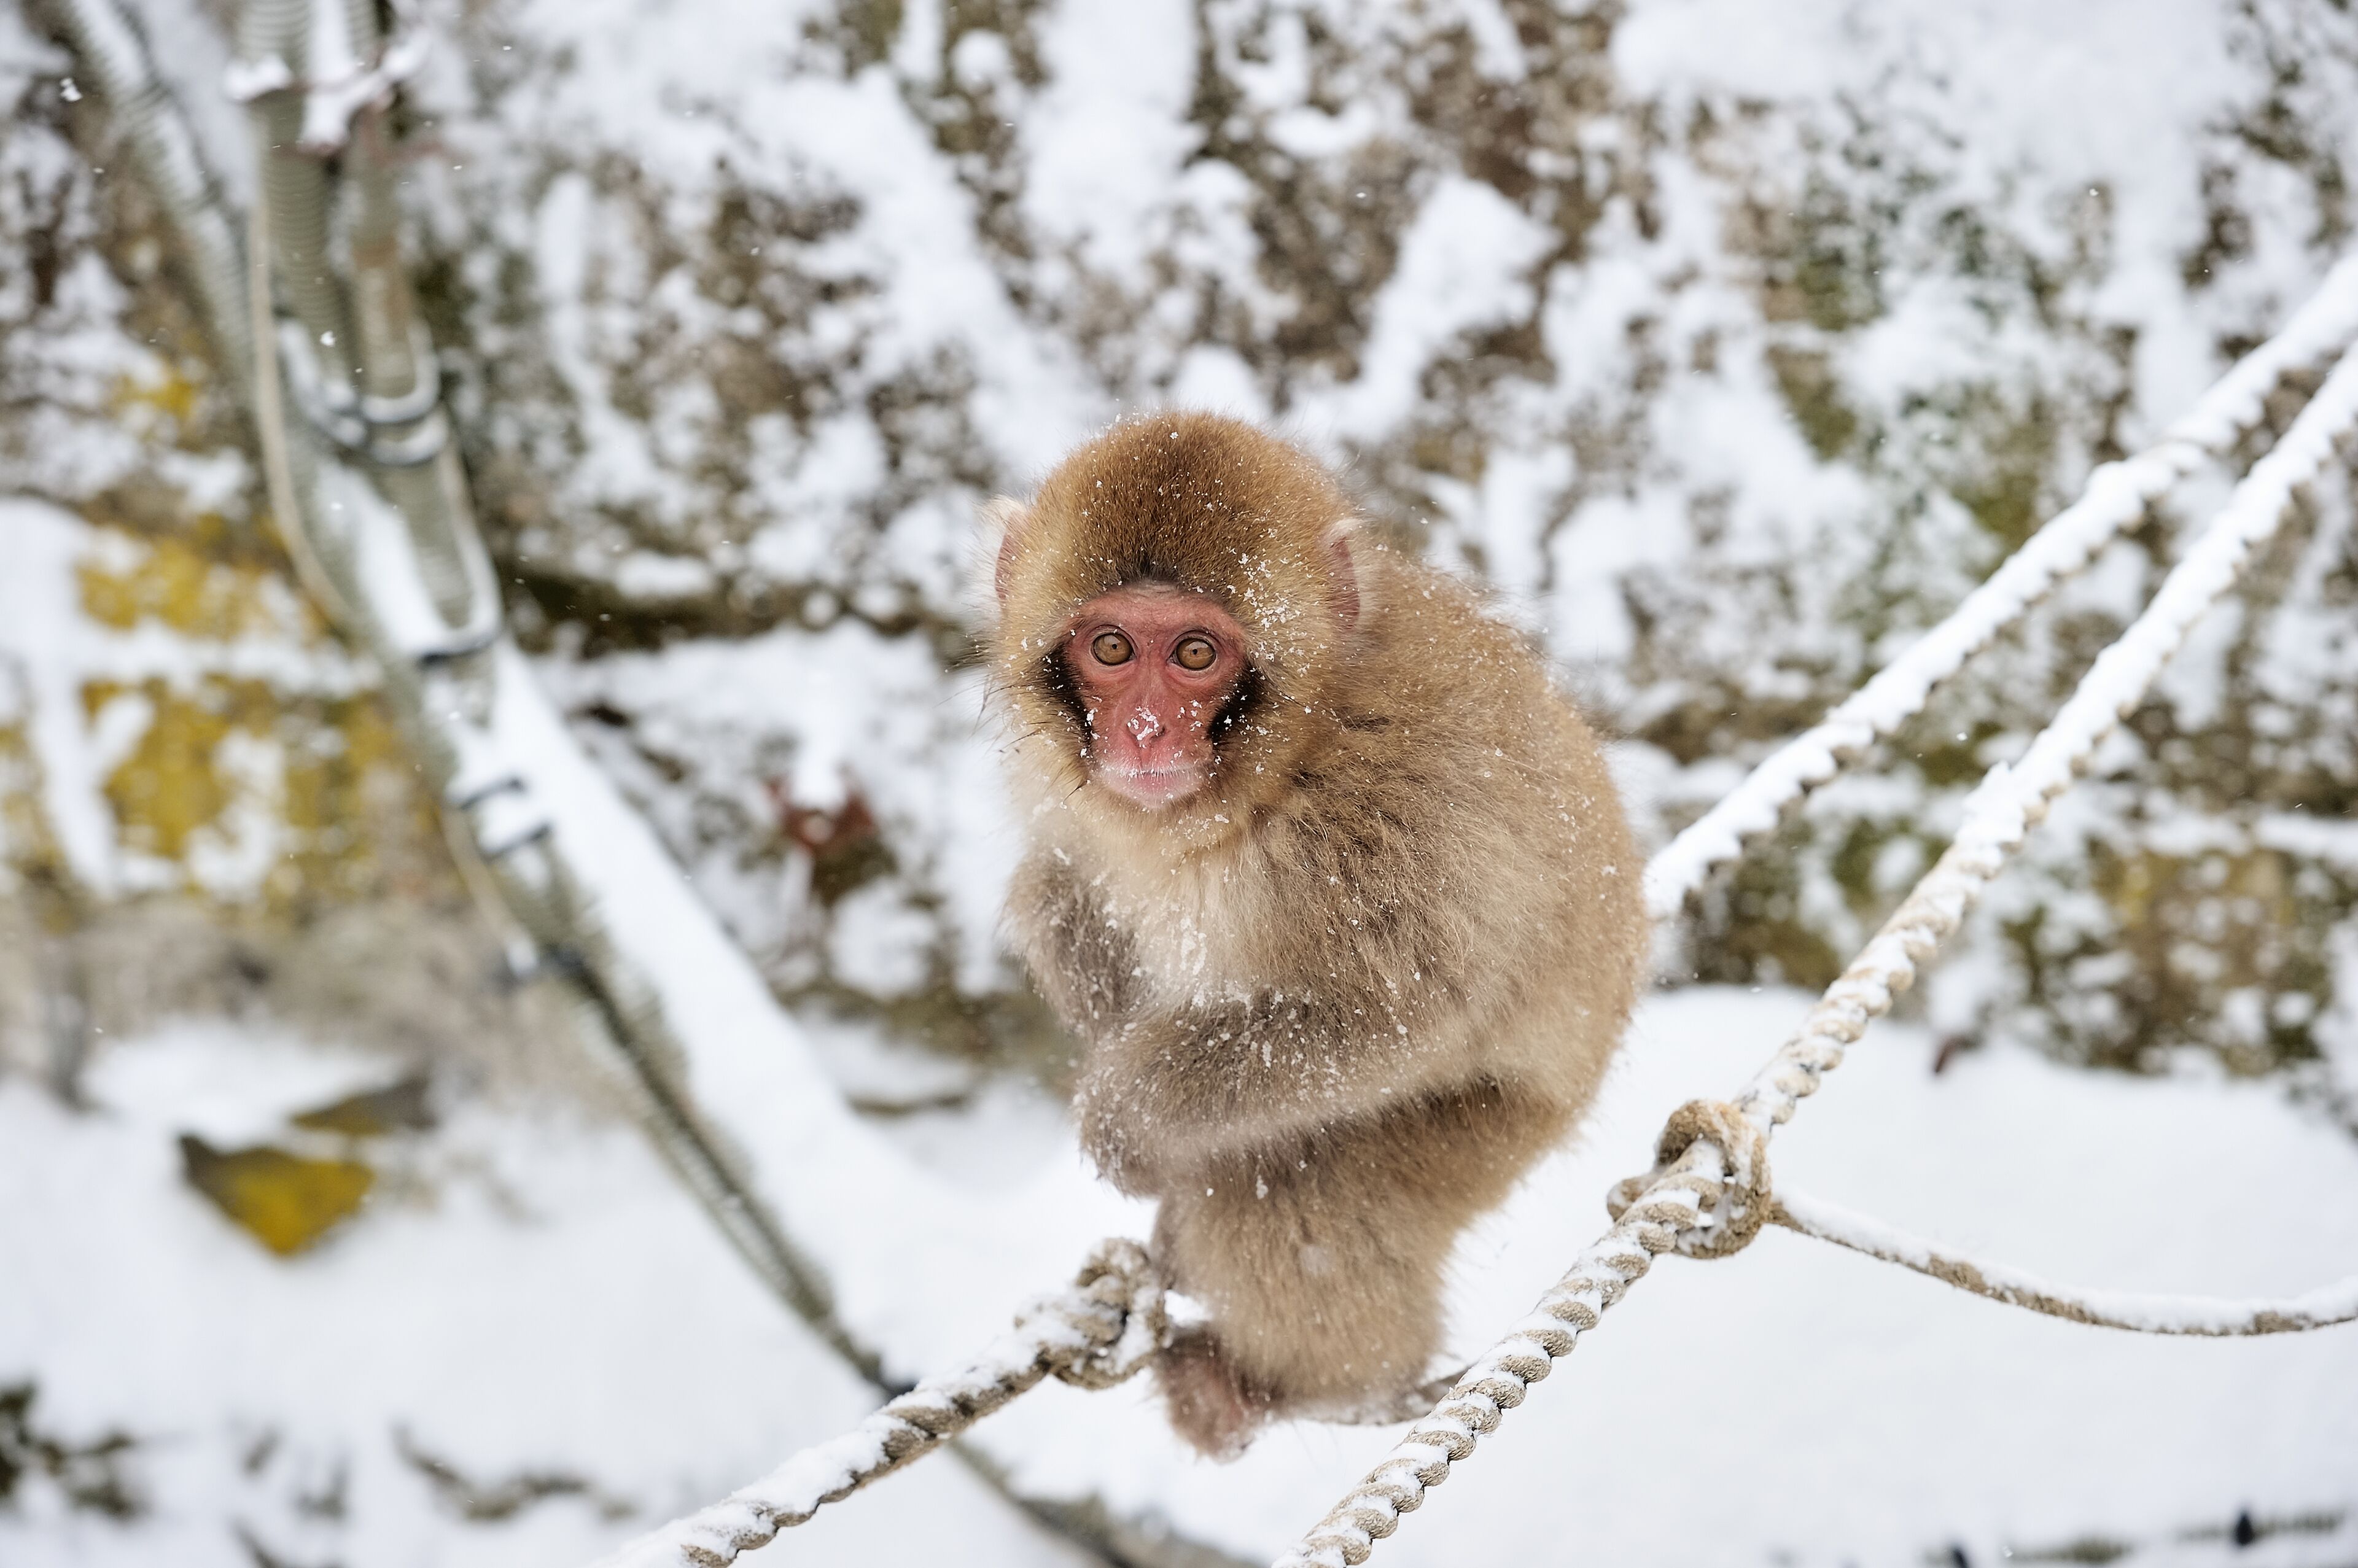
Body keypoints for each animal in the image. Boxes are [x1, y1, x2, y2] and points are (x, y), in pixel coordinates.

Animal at [983, 413, 1646, 1458]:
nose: (1144, 730)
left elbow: (1397, 1012)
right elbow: (1059, 882)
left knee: (1293, 1183)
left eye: (1198, 655)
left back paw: (1320, 1385)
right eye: (1112, 646)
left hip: (1493, 1124)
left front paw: (1128, 1119)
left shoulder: (1384, 817)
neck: (1275, 762)